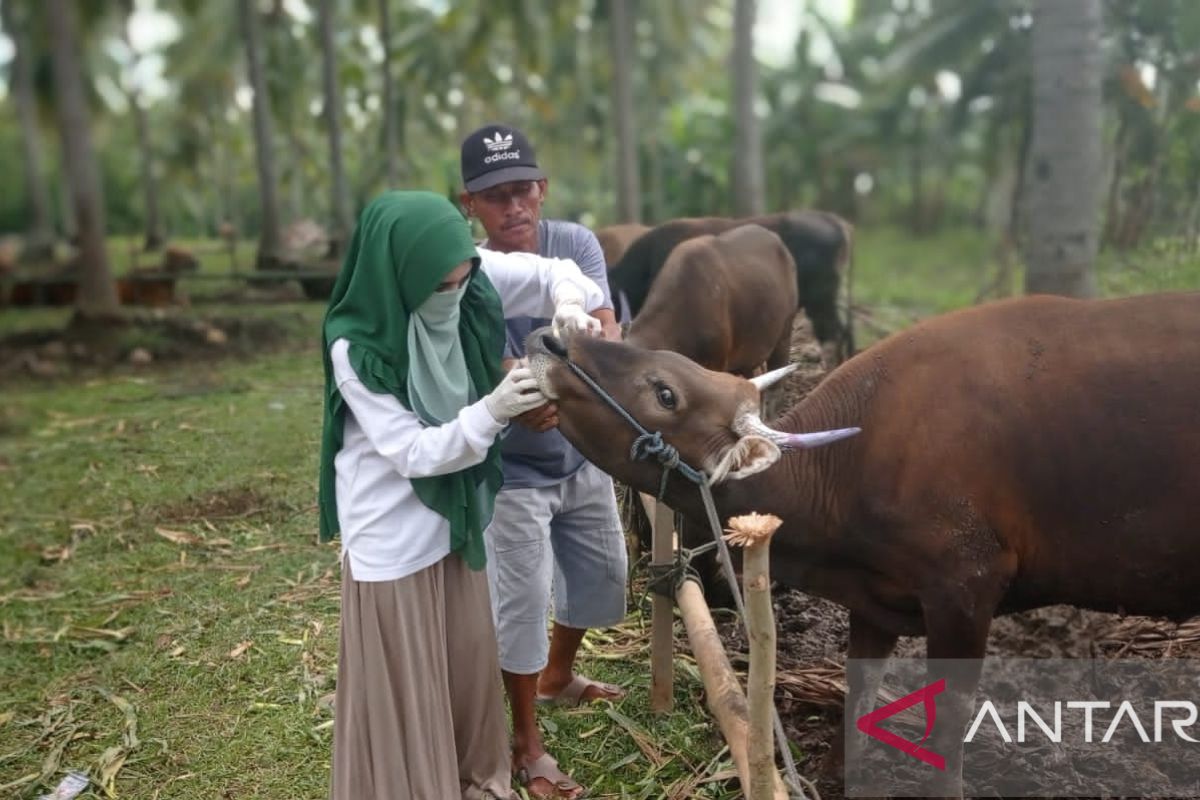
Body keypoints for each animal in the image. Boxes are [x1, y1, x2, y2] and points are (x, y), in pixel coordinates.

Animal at [530, 293, 1200, 796]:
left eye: (665, 392)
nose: (553, 341)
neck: (846, 467)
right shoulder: (875, 603)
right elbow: (859, 692)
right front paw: (836, 776)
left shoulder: (965, 591)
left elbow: (949, 718)